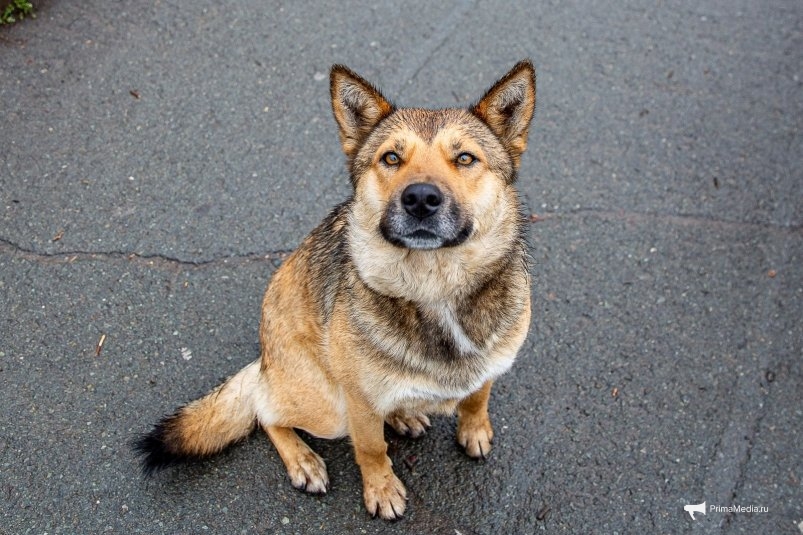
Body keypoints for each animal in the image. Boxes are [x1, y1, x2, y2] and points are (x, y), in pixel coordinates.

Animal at [135, 58, 536, 520]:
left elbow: (476, 398)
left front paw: (474, 429)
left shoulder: (489, 364)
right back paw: (304, 459)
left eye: (465, 158)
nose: (420, 199)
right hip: (328, 407)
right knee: (265, 409)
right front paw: (381, 489)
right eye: (391, 157)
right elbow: (372, 448)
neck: (435, 288)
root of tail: (265, 361)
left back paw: (403, 415)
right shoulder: (358, 402)